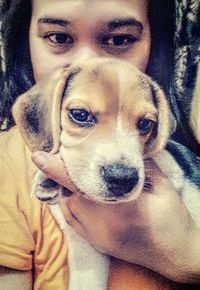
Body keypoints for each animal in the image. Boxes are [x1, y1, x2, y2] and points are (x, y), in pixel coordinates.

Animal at [12, 57, 200, 288]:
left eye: (146, 123)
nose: (122, 178)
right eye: (80, 115)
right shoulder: (85, 248)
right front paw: (51, 180)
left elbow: (156, 160)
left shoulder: (173, 168)